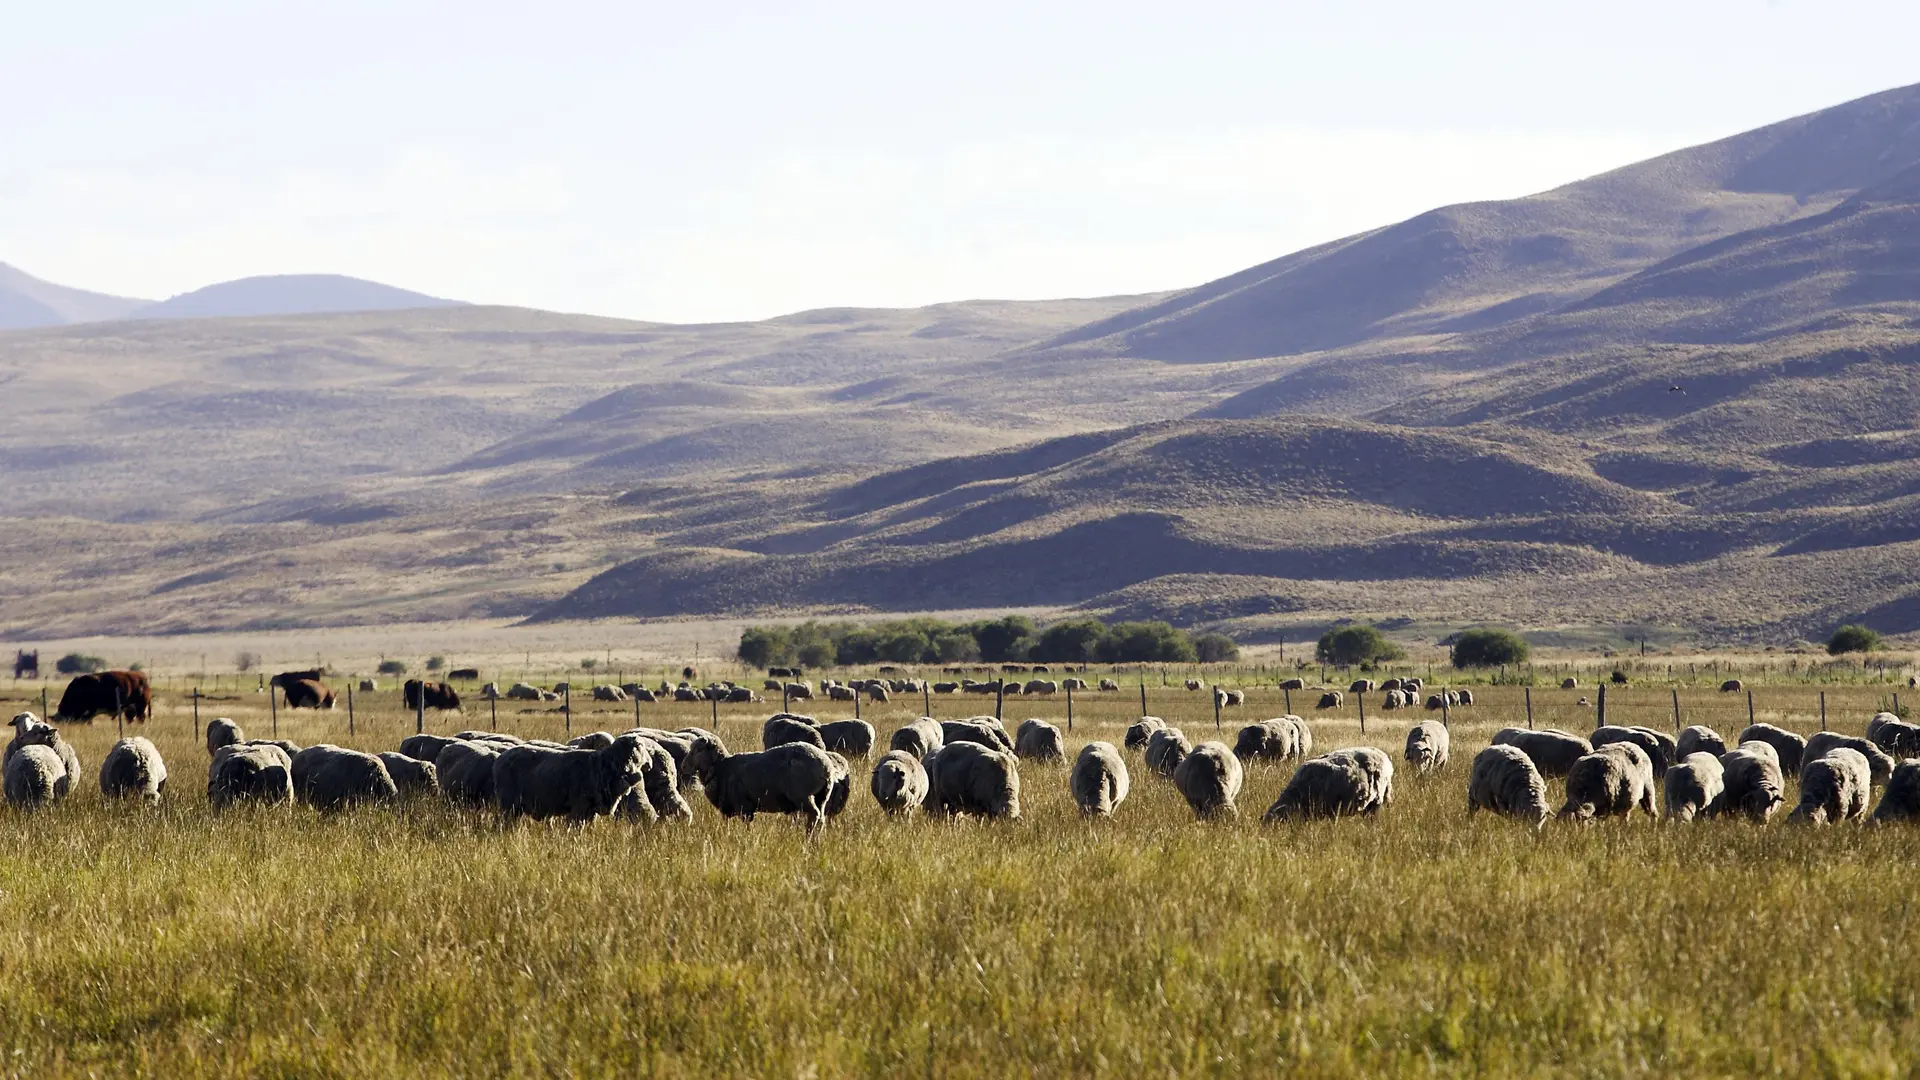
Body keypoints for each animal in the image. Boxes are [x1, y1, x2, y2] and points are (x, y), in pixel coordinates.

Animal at [683, 734, 848, 826]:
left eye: (698, 750)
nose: (684, 766)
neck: (721, 766)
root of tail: (826, 767)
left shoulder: (744, 806)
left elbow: (746, 827)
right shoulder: (729, 809)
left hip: (803, 795)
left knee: (814, 816)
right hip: (822, 796)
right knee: (821, 818)